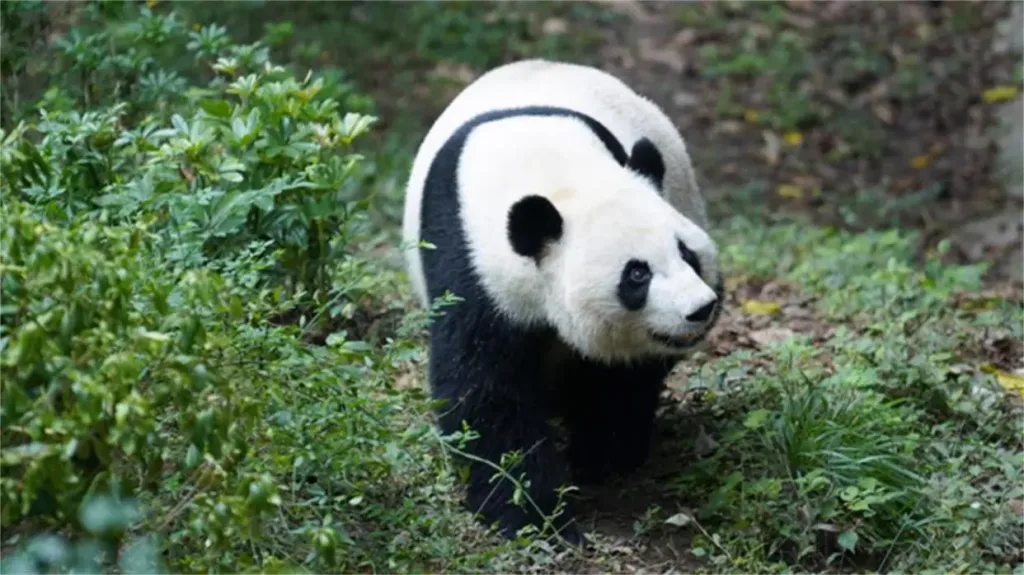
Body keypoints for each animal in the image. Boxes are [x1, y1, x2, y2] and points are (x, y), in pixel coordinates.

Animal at [401, 59, 724, 545]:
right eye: (637, 274)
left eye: (687, 254)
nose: (700, 309)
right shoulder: (468, 264)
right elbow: (486, 390)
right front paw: (530, 514)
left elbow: (616, 376)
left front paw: (602, 454)